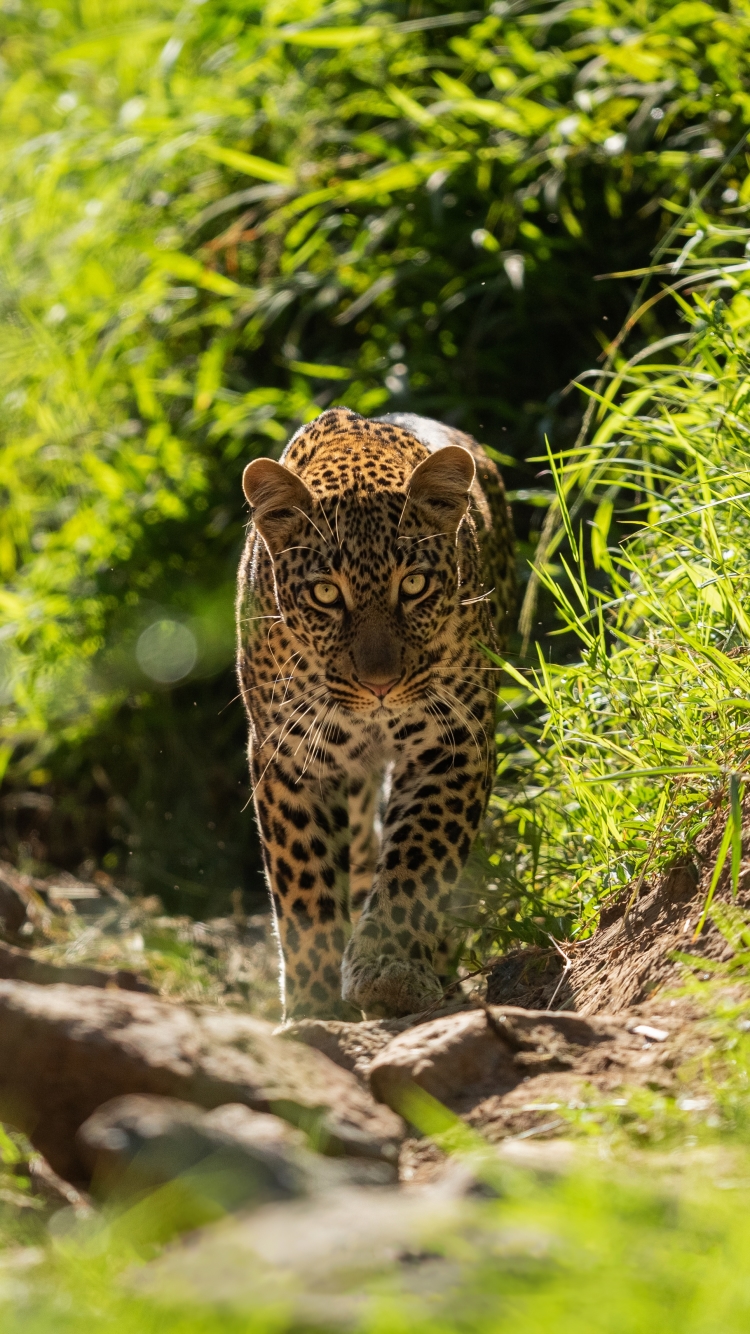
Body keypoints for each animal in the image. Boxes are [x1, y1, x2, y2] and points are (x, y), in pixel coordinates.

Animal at [234, 405, 512, 1019]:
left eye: (414, 585)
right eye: (325, 594)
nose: (380, 685)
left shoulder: (452, 741)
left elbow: (419, 860)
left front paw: (389, 972)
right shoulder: (289, 756)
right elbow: (304, 888)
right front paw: (313, 1007)